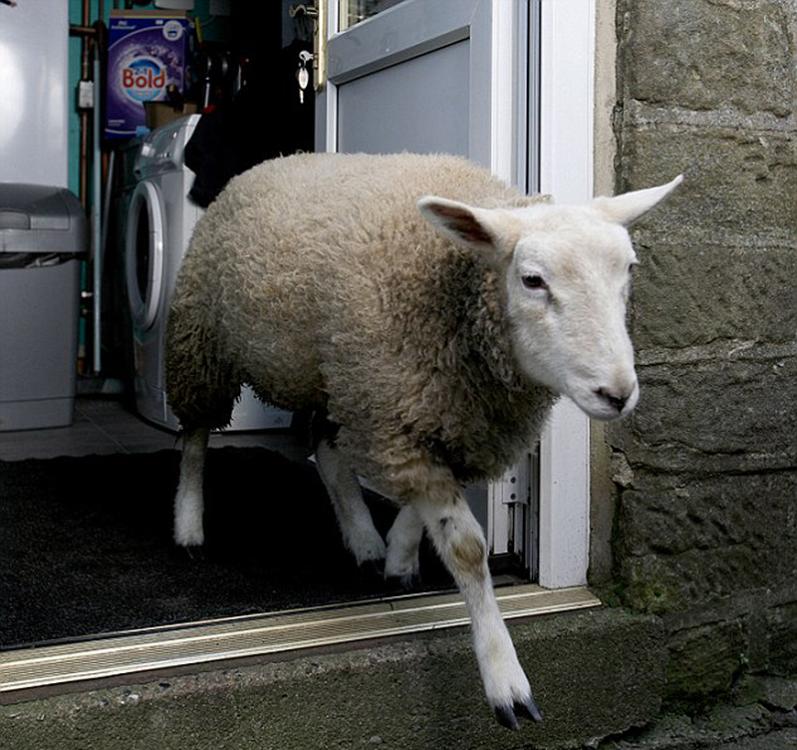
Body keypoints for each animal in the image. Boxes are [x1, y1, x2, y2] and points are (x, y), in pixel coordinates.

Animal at [165, 150, 680, 732]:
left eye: (629, 271)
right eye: (531, 280)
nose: (617, 394)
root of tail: (277, 160)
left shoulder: (441, 418)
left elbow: (428, 503)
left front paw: (399, 555)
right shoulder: (396, 412)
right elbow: (467, 548)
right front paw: (506, 681)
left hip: (330, 370)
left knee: (327, 449)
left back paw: (363, 541)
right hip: (202, 337)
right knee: (196, 436)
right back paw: (190, 525)